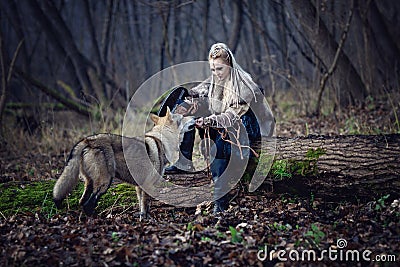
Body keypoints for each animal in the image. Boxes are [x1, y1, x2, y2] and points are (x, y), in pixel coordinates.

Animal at [53, 108, 195, 221]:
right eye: (183, 117)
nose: (194, 117)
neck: (163, 139)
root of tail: (88, 140)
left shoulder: (139, 186)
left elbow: (142, 206)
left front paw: (142, 218)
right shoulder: (148, 185)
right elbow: (146, 205)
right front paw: (146, 221)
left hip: (90, 183)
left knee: (82, 202)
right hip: (105, 183)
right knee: (88, 204)